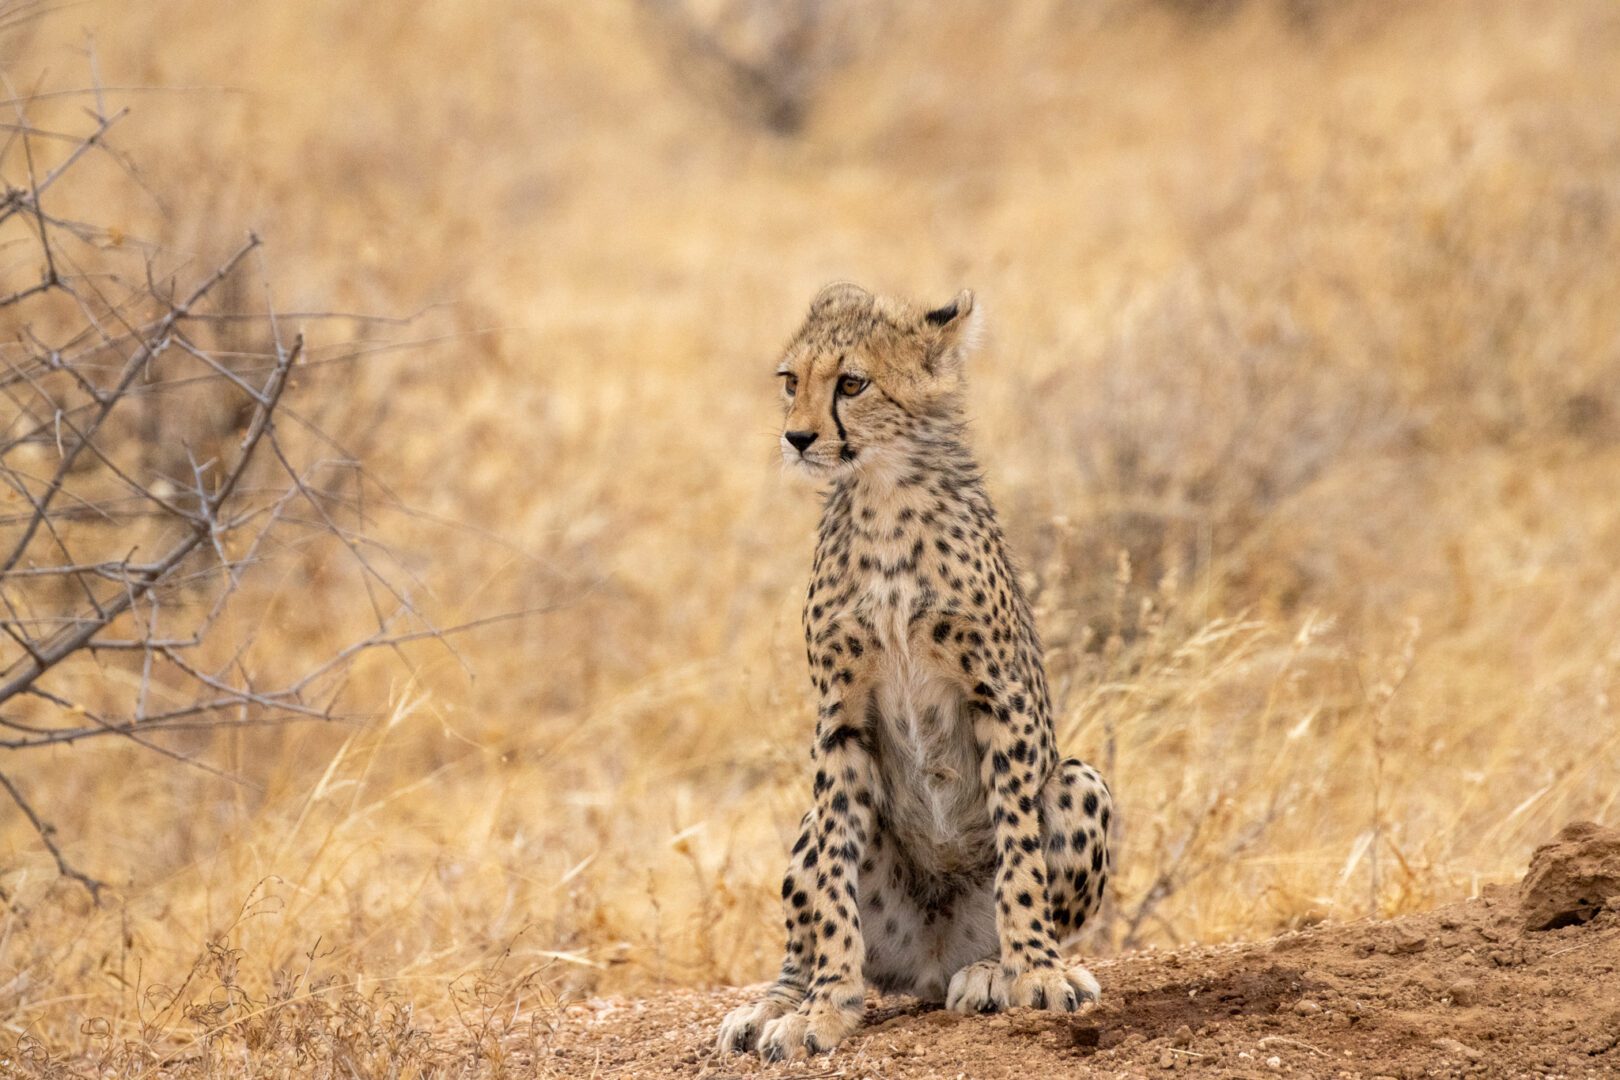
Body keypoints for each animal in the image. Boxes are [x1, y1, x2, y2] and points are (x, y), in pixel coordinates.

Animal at [722, 283, 1114, 1062]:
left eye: (851, 383)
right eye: (791, 380)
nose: (797, 438)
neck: (883, 495)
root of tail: (933, 964)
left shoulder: (1000, 694)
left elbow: (1021, 849)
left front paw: (1036, 969)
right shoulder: (838, 716)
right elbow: (833, 890)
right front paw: (824, 1008)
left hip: (1081, 779)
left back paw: (991, 970)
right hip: (813, 822)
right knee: (805, 911)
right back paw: (772, 1003)